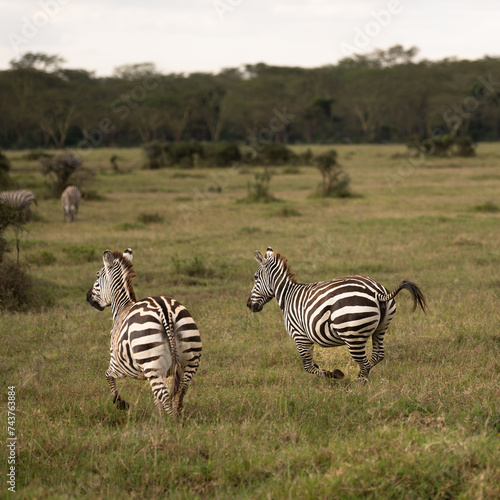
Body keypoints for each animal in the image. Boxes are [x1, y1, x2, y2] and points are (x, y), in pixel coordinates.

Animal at [87, 248, 202, 416]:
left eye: (97, 275)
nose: (87, 297)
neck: (122, 306)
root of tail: (165, 310)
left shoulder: (117, 363)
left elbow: (107, 375)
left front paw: (120, 403)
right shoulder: (167, 372)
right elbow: (158, 397)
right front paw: (157, 413)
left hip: (151, 362)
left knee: (164, 394)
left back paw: (169, 422)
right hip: (189, 360)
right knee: (180, 390)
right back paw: (176, 416)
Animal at [246, 248, 426, 380]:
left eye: (255, 277)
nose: (249, 305)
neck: (288, 295)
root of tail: (377, 292)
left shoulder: (300, 336)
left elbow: (308, 367)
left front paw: (333, 374)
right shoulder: (307, 338)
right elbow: (312, 365)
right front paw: (328, 373)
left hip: (353, 334)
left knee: (364, 363)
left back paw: (359, 386)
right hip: (381, 327)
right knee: (377, 355)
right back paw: (359, 378)